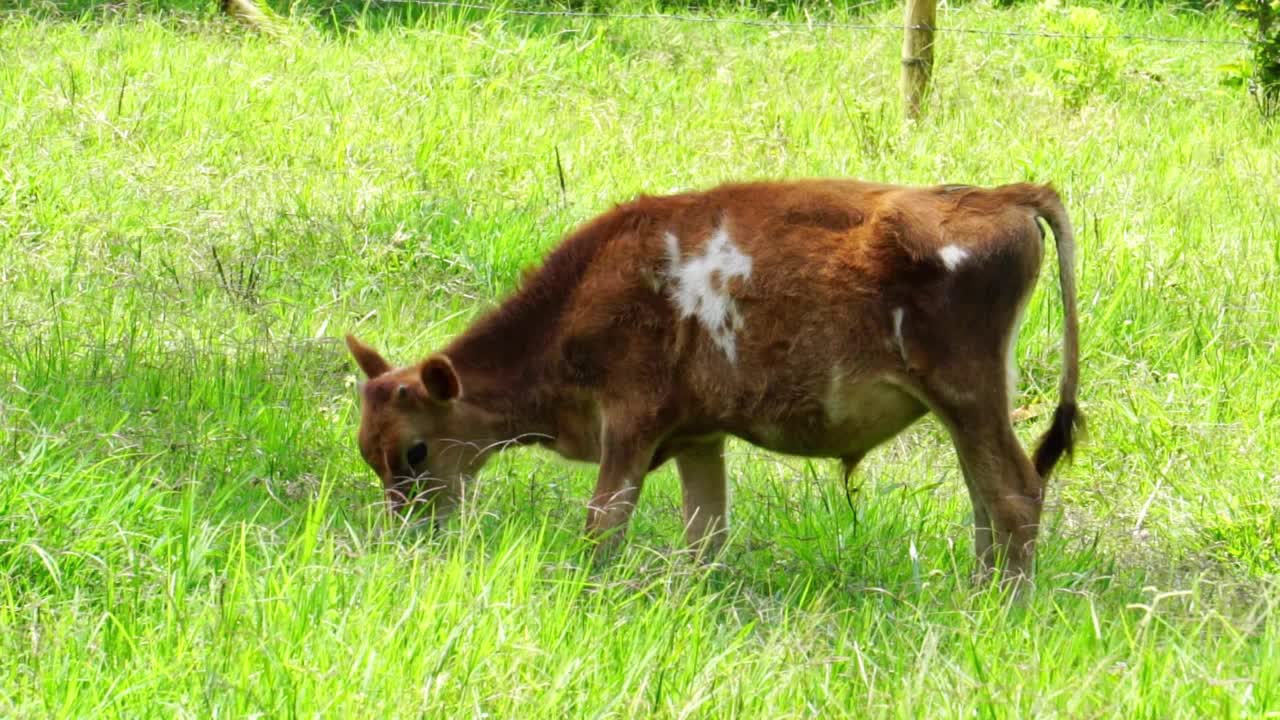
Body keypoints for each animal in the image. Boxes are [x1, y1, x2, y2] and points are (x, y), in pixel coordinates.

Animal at [343, 179, 1080, 584]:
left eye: (415, 450)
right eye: (370, 455)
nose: (408, 535)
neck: (587, 290)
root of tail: (1007, 195)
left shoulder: (630, 426)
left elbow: (603, 523)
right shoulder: (699, 437)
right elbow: (705, 532)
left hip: (969, 398)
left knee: (1013, 496)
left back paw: (999, 608)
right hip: (968, 414)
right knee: (985, 499)